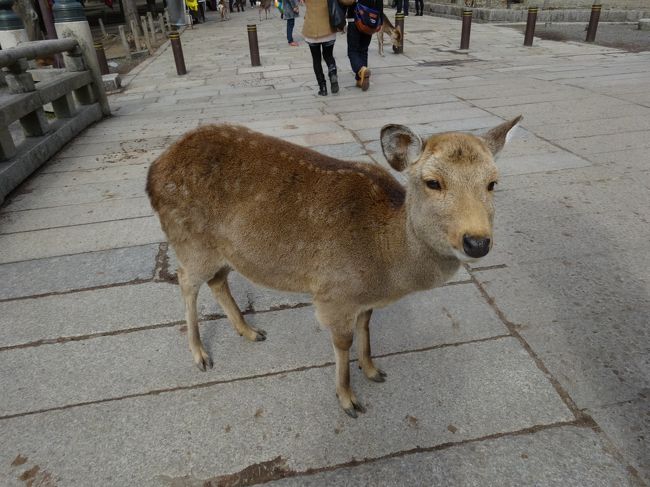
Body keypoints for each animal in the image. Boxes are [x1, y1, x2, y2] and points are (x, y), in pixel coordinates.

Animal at [146, 116, 522, 418]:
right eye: (433, 182)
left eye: (492, 183)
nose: (477, 242)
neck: (385, 263)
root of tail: (153, 170)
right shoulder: (334, 293)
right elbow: (343, 342)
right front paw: (348, 399)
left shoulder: (363, 298)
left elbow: (366, 327)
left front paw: (373, 370)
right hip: (189, 241)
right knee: (186, 280)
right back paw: (200, 355)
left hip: (224, 250)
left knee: (218, 280)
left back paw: (250, 331)